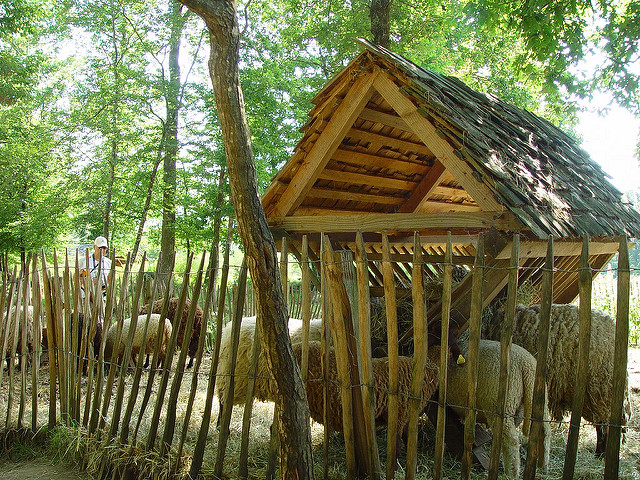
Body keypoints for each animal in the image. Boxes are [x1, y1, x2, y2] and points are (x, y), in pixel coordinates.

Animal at [444, 340, 552, 478]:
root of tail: (525, 365)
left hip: (499, 403)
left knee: (511, 439)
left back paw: (511, 473)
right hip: (539, 402)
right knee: (545, 431)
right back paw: (543, 466)